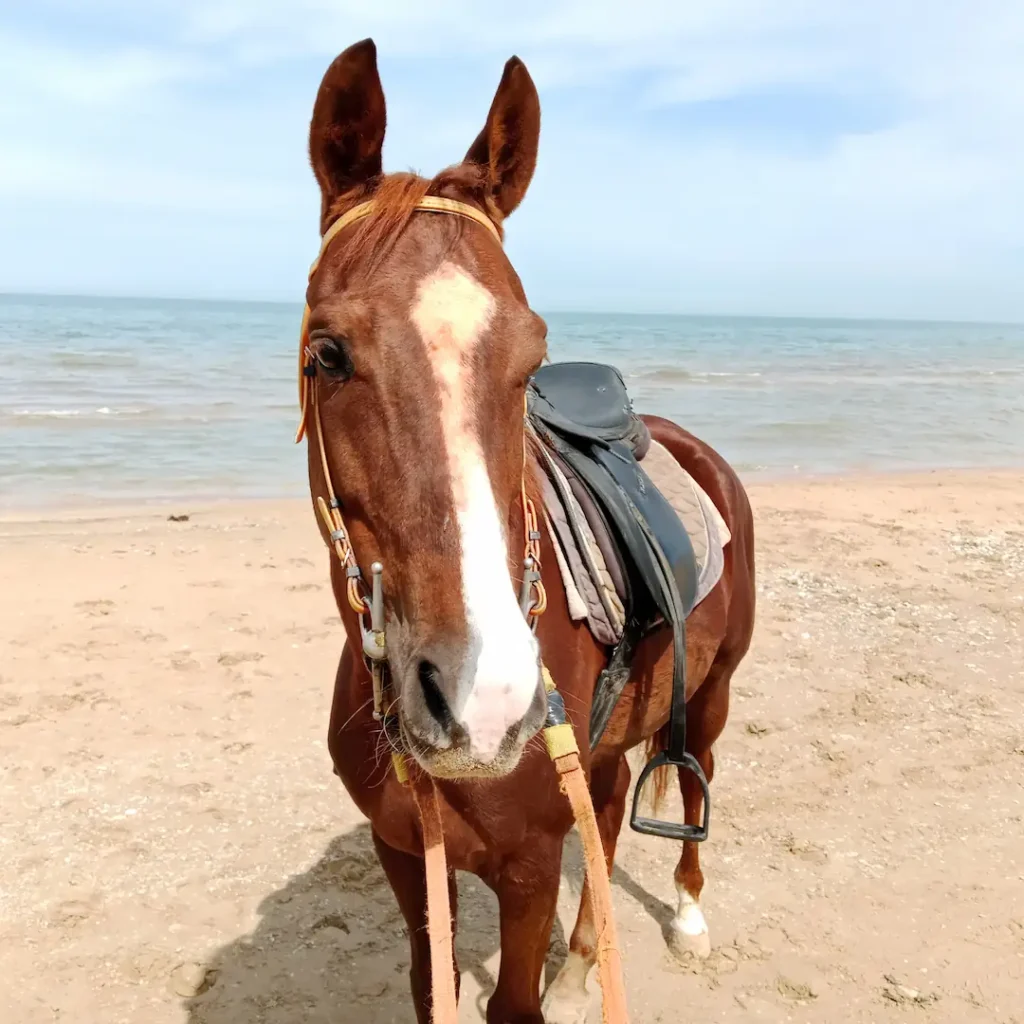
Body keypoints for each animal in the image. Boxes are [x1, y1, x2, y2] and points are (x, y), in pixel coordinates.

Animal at [299, 38, 756, 1024]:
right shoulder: (406, 854)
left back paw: (689, 914)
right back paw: (585, 963)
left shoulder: (530, 869)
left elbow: (513, 1002)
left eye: (532, 359)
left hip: (713, 695)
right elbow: (429, 987)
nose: (485, 701)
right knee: (614, 802)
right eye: (328, 353)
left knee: (693, 775)